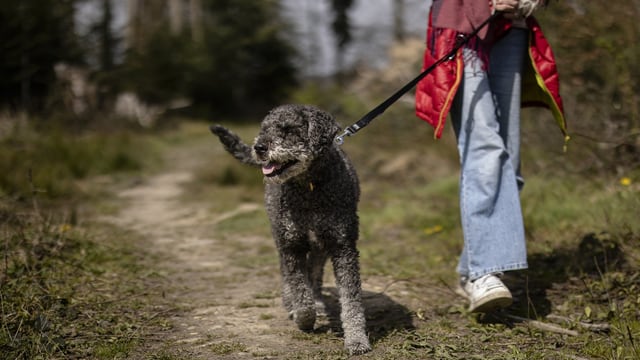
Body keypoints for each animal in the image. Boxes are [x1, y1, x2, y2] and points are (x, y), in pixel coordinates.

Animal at [210, 103, 370, 354]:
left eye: (288, 129)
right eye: (264, 129)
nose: (259, 147)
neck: (310, 187)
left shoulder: (343, 246)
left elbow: (351, 299)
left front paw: (356, 340)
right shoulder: (292, 244)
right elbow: (300, 291)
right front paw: (302, 318)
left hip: (319, 246)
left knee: (314, 273)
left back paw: (318, 301)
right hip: (281, 238)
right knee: (287, 273)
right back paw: (290, 303)